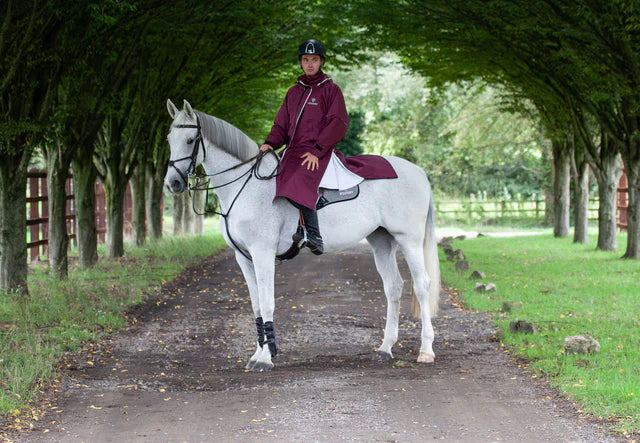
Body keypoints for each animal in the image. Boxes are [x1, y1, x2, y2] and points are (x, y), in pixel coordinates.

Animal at [164, 99, 440, 372]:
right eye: (168, 138)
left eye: (190, 140)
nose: (172, 183)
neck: (247, 187)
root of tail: (418, 172)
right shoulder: (243, 257)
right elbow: (256, 305)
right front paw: (259, 353)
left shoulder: (262, 253)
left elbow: (267, 302)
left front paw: (266, 358)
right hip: (381, 241)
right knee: (393, 286)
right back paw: (385, 348)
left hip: (409, 240)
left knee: (422, 285)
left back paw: (426, 350)